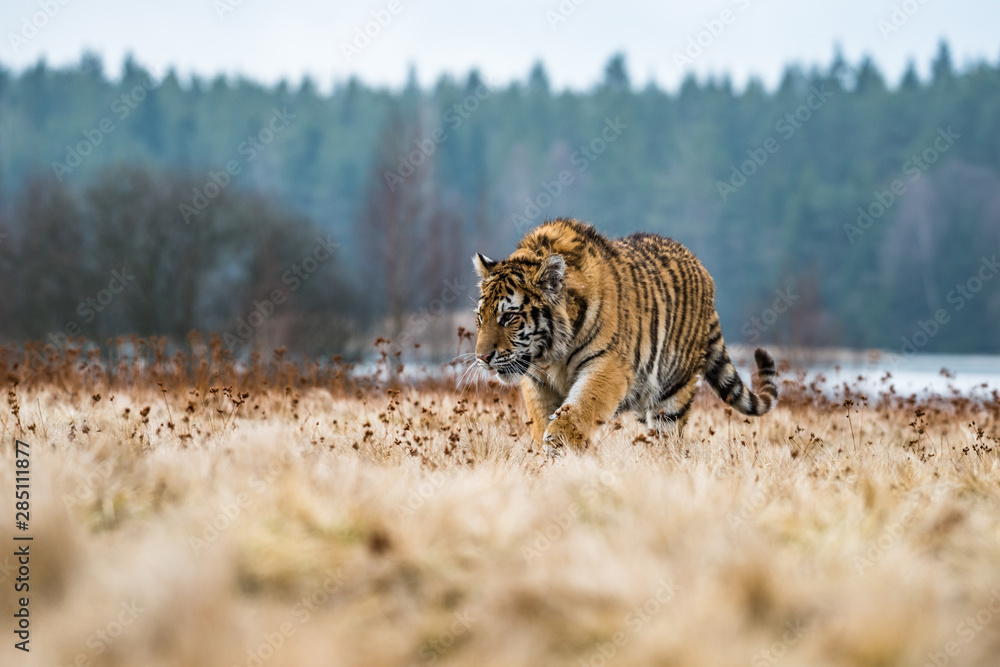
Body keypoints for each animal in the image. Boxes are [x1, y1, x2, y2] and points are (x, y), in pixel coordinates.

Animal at [472, 217, 777, 451]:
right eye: (480, 318)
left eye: (508, 317)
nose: (482, 358)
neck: (550, 355)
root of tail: (705, 274)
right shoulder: (537, 382)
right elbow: (540, 418)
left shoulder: (607, 366)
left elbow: (582, 407)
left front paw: (559, 442)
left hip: (673, 392)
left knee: (669, 438)